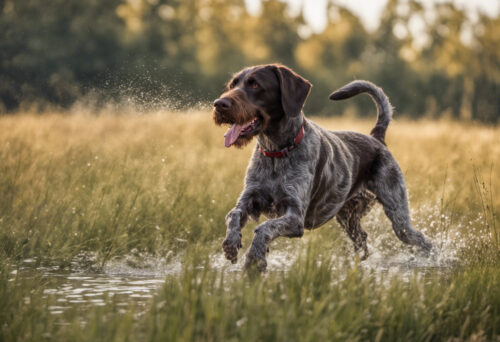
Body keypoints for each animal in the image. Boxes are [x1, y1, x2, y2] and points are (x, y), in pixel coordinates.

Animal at [213, 64, 432, 272]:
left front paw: (255, 258)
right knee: (362, 240)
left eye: (255, 85)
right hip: (347, 217)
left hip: (399, 216)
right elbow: (233, 214)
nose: (219, 104)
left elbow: (264, 229)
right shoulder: (249, 198)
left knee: (424, 241)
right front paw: (231, 244)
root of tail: (376, 137)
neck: (276, 152)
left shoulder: (295, 217)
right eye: (233, 85)